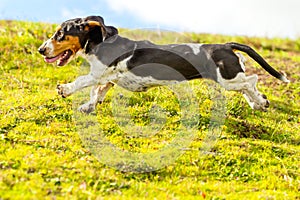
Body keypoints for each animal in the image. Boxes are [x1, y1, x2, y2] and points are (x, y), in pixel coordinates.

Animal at [37, 15, 288, 113]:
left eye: (60, 34)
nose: (41, 50)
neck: (100, 43)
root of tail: (226, 45)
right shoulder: (107, 79)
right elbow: (96, 94)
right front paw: (87, 107)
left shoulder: (99, 74)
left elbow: (82, 82)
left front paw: (64, 89)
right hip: (232, 77)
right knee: (248, 86)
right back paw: (259, 102)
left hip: (227, 78)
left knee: (252, 80)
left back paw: (259, 101)